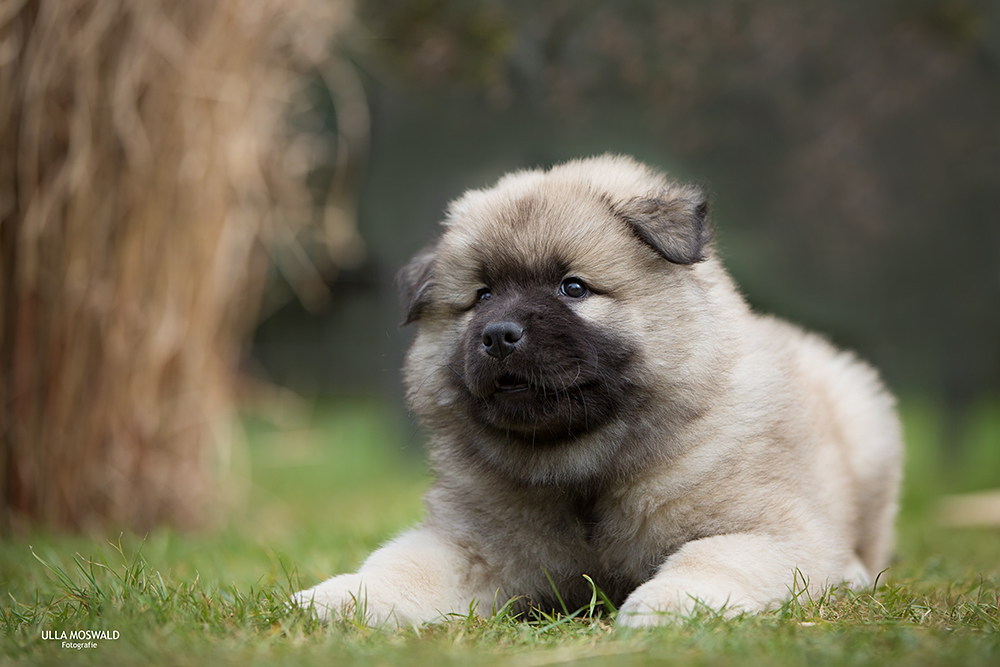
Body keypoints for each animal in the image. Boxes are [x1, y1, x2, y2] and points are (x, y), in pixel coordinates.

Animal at [292, 154, 908, 628]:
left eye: (574, 287)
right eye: (483, 296)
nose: (498, 335)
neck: (582, 466)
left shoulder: (765, 530)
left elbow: (709, 560)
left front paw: (667, 607)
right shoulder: (471, 546)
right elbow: (399, 567)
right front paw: (336, 599)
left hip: (866, 431)